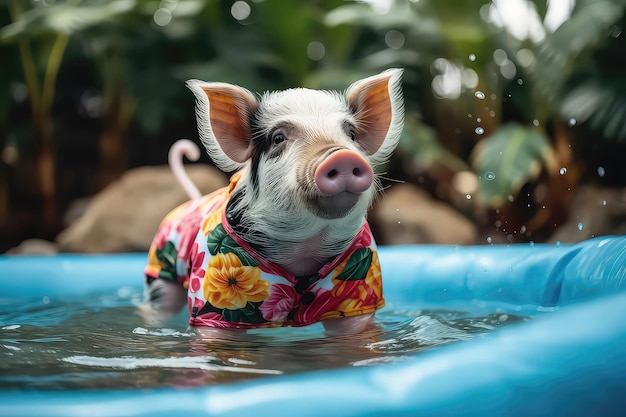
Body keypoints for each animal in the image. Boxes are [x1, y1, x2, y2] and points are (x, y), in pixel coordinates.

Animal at [141, 69, 402, 334]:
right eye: (278, 138)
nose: (342, 156)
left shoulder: (357, 285)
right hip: (160, 271)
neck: (303, 250)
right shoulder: (215, 290)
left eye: (351, 134)